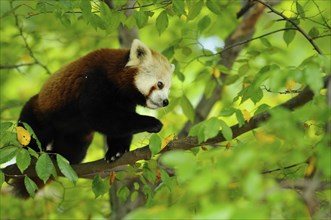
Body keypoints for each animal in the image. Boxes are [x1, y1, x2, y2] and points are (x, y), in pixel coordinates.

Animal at [14, 39, 175, 198]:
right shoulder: (93, 82)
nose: (166, 101)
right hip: (39, 112)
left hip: (78, 135)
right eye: (160, 84)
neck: (115, 79)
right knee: (34, 130)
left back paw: (60, 157)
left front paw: (116, 151)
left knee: (75, 148)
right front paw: (151, 122)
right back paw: (34, 152)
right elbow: (101, 117)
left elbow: (120, 128)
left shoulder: (125, 102)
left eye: (168, 89)